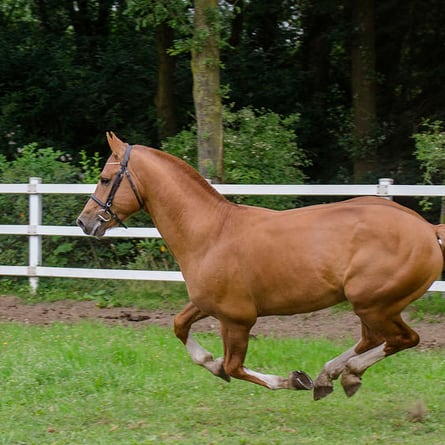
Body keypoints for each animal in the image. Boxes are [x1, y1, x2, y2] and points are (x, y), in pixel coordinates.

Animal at [78, 132, 442, 398]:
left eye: (105, 178)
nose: (84, 221)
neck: (210, 232)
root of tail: (429, 230)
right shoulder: (206, 304)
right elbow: (181, 327)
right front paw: (211, 363)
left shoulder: (237, 319)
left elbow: (234, 367)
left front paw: (295, 380)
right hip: (373, 306)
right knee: (372, 339)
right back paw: (331, 376)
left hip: (374, 304)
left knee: (403, 340)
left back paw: (344, 375)